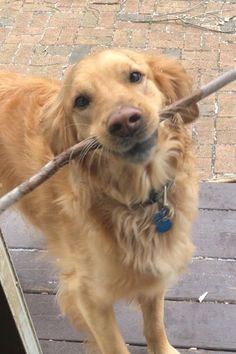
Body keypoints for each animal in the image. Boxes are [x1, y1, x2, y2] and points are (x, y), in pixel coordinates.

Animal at [0, 49, 199, 354]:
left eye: (135, 76)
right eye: (81, 101)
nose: (125, 121)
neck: (132, 200)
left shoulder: (155, 273)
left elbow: (154, 326)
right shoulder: (88, 296)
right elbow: (115, 345)